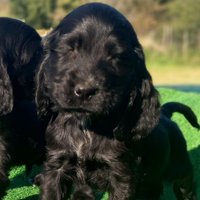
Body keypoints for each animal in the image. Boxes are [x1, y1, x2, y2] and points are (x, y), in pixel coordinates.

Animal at [35, 3, 196, 200]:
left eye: (116, 56)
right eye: (69, 48)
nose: (85, 90)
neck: (86, 127)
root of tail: (165, 114)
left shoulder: (122, 176)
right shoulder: (55, 166)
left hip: (181, 171)